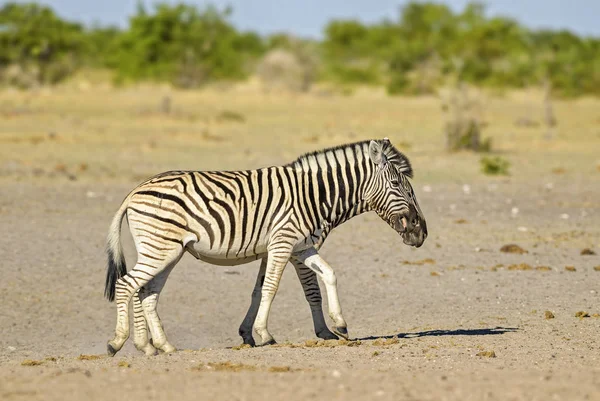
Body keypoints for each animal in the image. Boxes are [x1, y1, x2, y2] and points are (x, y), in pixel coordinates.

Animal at [103, 137, 426, 354]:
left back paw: (158, 346)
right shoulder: (284, 244)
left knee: (147, 292)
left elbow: (318, 279)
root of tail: (135, 190)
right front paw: (265, 333)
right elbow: (276, 288)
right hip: (160, 249)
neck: (314, 195)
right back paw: (118, 342)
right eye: (398, 185)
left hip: (167, 251)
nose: (420, 231)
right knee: (127, 285)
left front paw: (337, 326)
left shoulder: (299, 248)